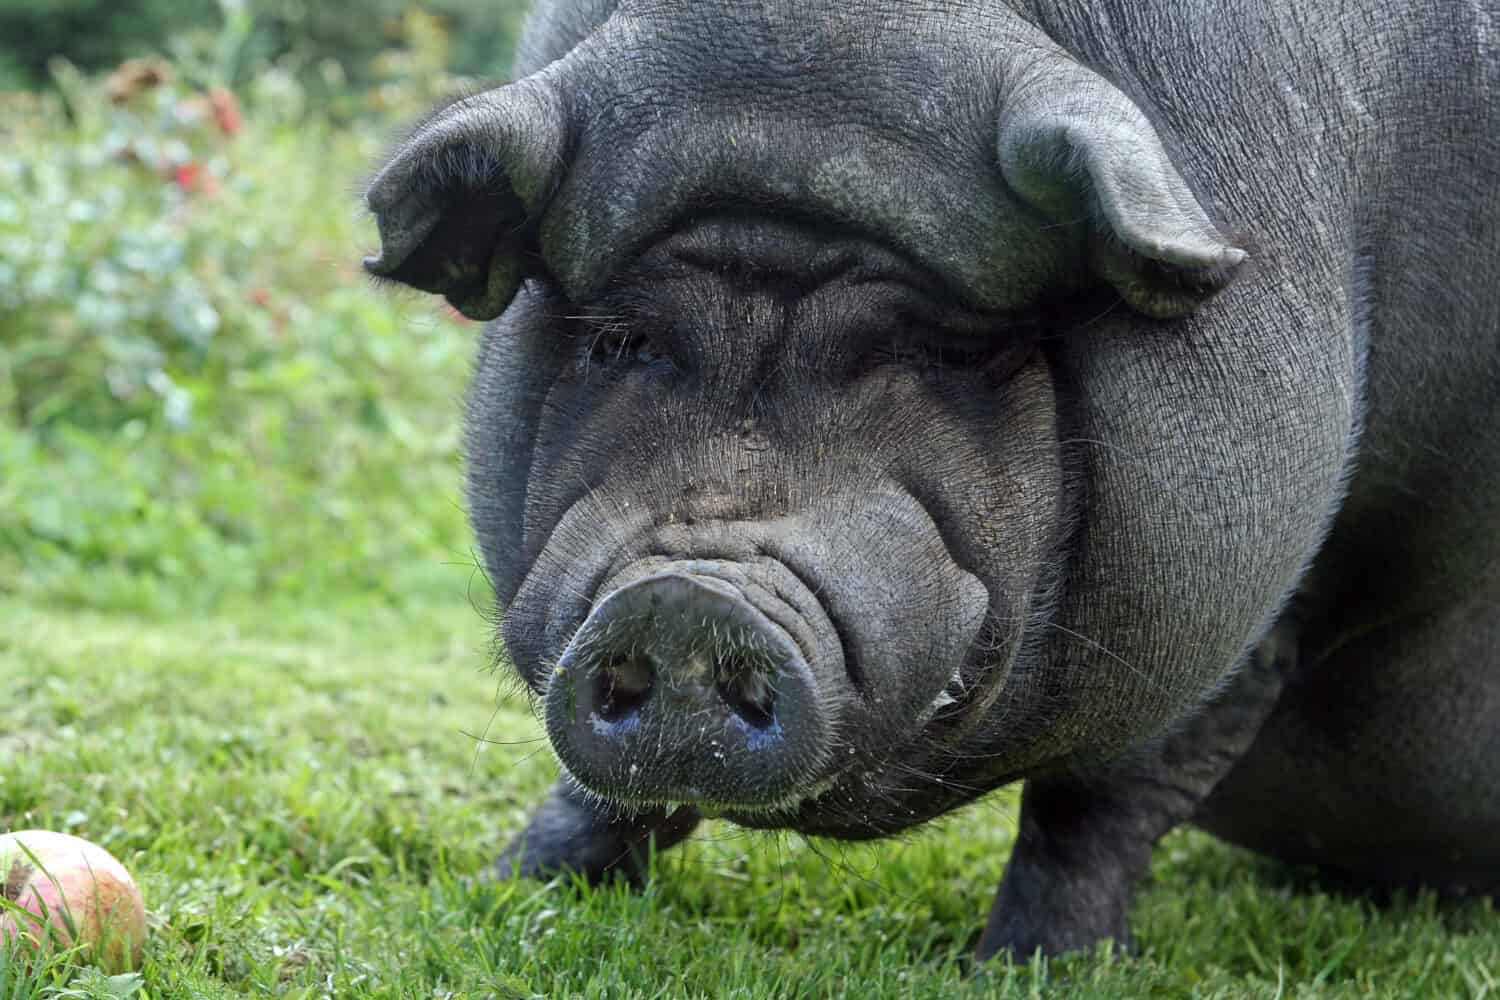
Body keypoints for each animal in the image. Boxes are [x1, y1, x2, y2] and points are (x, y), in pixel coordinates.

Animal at [363, 0, 1500, 962]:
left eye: (945, 351)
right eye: (622, 339)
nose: (691, 597)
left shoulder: (1260, 582)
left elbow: (1103, 798)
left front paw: (1037, 966)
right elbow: (599, 797)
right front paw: (503, 893)